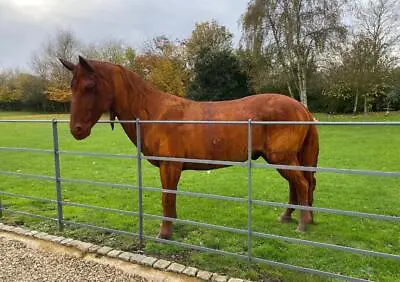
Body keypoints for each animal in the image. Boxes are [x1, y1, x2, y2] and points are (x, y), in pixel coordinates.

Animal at [58, 55, 318, 238]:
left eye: (89, 85)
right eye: (72, 86)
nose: (76, 130)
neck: (154, 112)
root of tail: (302, 108)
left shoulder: (170, 166)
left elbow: (167, 196)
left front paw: (165, 232)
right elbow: (170, 198)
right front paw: (172, 223)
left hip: (281, 157)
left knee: (302, 184)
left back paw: (303, 224)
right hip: (286, 158)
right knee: (299, 184)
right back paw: (289, 217)